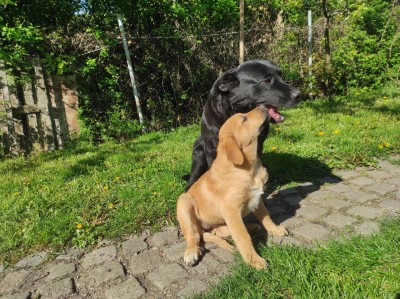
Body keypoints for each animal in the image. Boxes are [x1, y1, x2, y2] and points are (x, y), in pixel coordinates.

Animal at [177, 106, 286, 270]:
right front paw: (255, 260)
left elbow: (267, 217)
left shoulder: (257, 198)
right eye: (244, 119)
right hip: (184, 203)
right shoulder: (231, 211)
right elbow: (243, 237)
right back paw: (191, 252)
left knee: (217, 232)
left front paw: (276, 229)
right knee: (193, 236)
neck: (249, 168)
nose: (263, 106)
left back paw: (251, 226)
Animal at [186, 60, 302, 191]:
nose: (299, 95)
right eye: (267, 80)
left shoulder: (258, 144)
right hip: (198, 151)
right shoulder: (211, 147)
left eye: (280, 75)